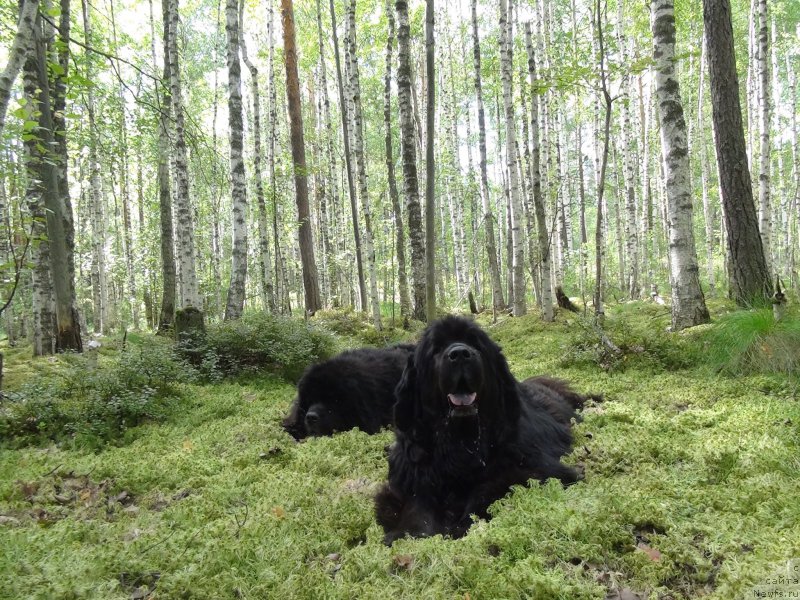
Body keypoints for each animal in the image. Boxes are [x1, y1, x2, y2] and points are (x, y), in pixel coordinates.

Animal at [376, 318, 592, 544]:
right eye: (436, 349)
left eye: (476, 345)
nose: (460, 353)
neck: (461, 441)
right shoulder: (413, 477)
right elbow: (417, 503)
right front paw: (408, 533)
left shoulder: (539, 468)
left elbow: (493, 486)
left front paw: (463, 524)